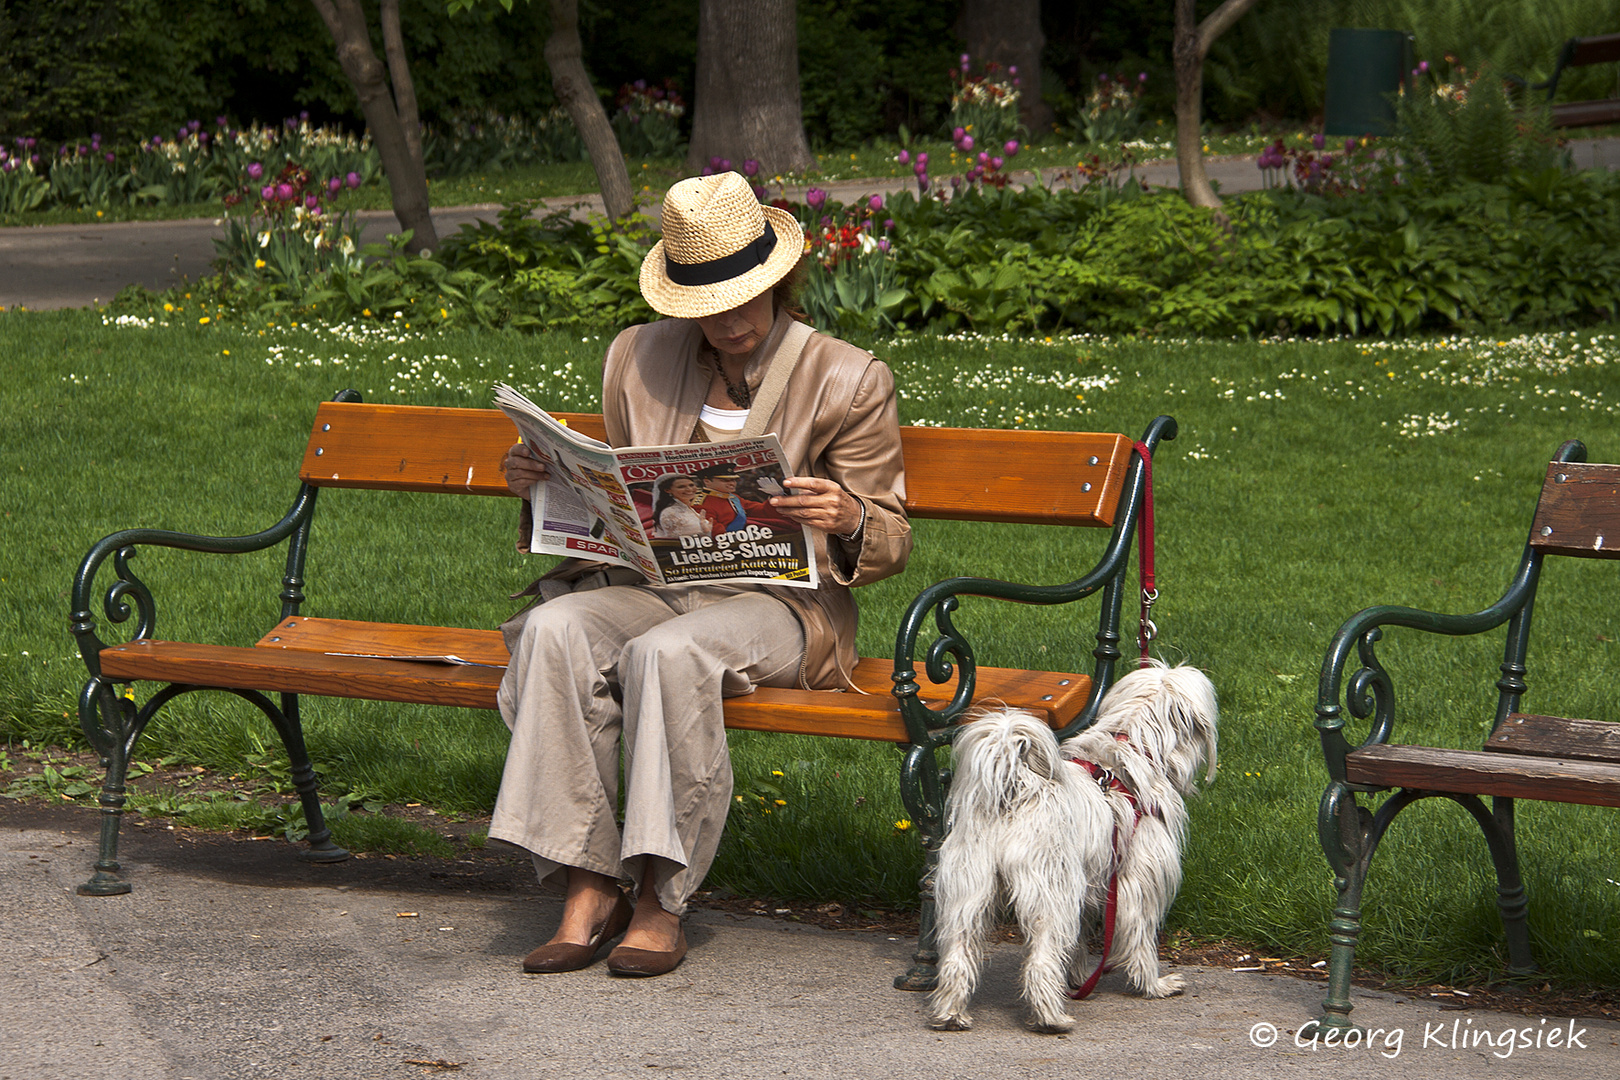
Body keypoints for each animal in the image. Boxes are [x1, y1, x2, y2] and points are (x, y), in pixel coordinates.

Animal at [926, 663, 1218, 1036]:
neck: (1131, 747)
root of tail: (1017, 788)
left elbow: (1079, 942)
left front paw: (1078, 979)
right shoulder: (1137, 883)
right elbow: (1140, 940)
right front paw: (1153, 986)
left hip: (968, 893)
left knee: (958, 957)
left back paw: (951, 1015)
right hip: (1050, 896)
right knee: (1040, 962)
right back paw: (1051, 1018)